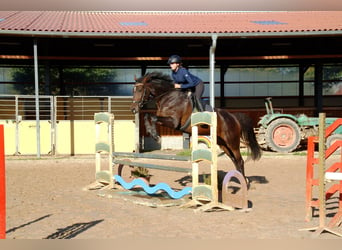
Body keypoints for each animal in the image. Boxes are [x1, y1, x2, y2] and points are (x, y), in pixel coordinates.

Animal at [129, 71, 262, 179]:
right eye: (133, 90)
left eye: (140, 90)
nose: (133, 109)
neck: (168, 97)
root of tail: (234, 117)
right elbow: (148, 116)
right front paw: (152, 133)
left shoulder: (173, 122)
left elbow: (153, 117)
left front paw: (156, 136)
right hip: (223, 144)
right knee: (235, 160)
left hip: (232, 142)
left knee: (240, 160)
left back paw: (244, 183)